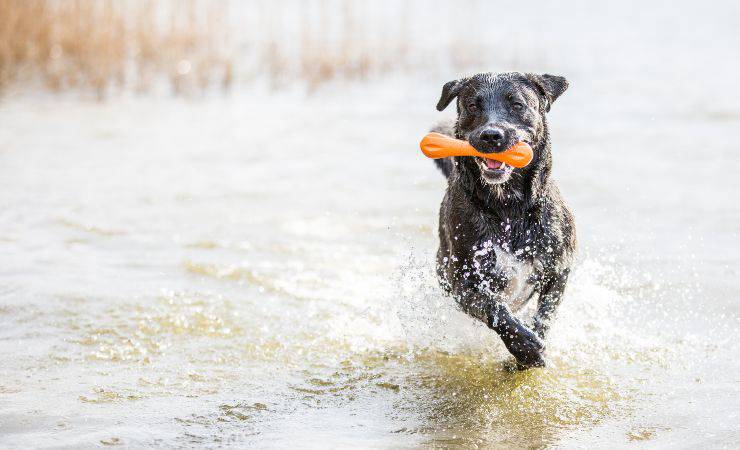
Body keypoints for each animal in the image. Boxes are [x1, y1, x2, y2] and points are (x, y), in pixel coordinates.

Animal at [428, 71, 580, 370]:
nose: (491, 135)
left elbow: (545, 314)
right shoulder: (464, 282)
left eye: (517, 105)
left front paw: (533, 344)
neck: (508, 208)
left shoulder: (559, 270)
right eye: (472, 106)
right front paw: (526, 348)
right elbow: (494, 308)